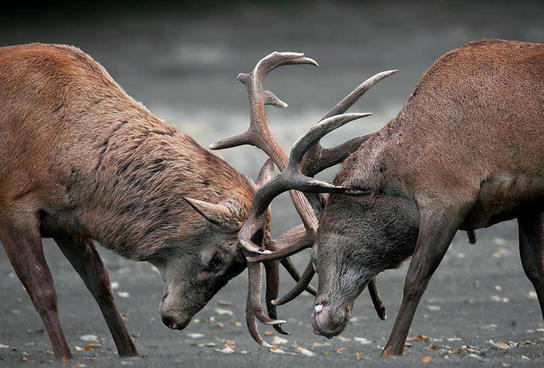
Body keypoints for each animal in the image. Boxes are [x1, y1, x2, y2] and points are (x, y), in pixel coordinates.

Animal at [0, 42, 386, 360]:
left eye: (237, 269)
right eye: (217, 259)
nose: (176, 320)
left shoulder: (66, 220)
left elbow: (101, 285)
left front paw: (130, 353)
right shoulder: (14, 205)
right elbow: (44, 290)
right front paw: (65, 357)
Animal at [234, 39, 544, 356]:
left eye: (315, 256)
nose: (321, 321)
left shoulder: (447, 195)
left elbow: (416, 277)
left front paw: (391, 348)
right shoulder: (528, 201)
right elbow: (535, 270)